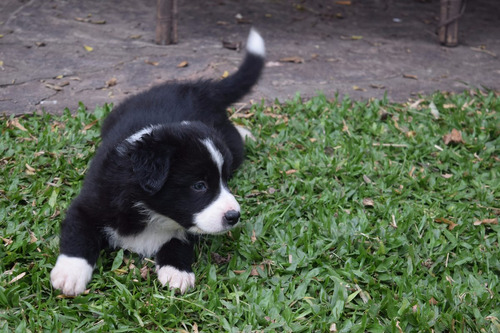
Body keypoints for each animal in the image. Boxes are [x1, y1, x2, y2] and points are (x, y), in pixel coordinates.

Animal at [50, 27, 266, 294]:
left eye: (225, 181)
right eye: (199, 186)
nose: (234, 216)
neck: (149, 209)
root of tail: (198, 88)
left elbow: (179, 240)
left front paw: (176, 272)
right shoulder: (88, 203)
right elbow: (78, 234)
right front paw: (69, 274)